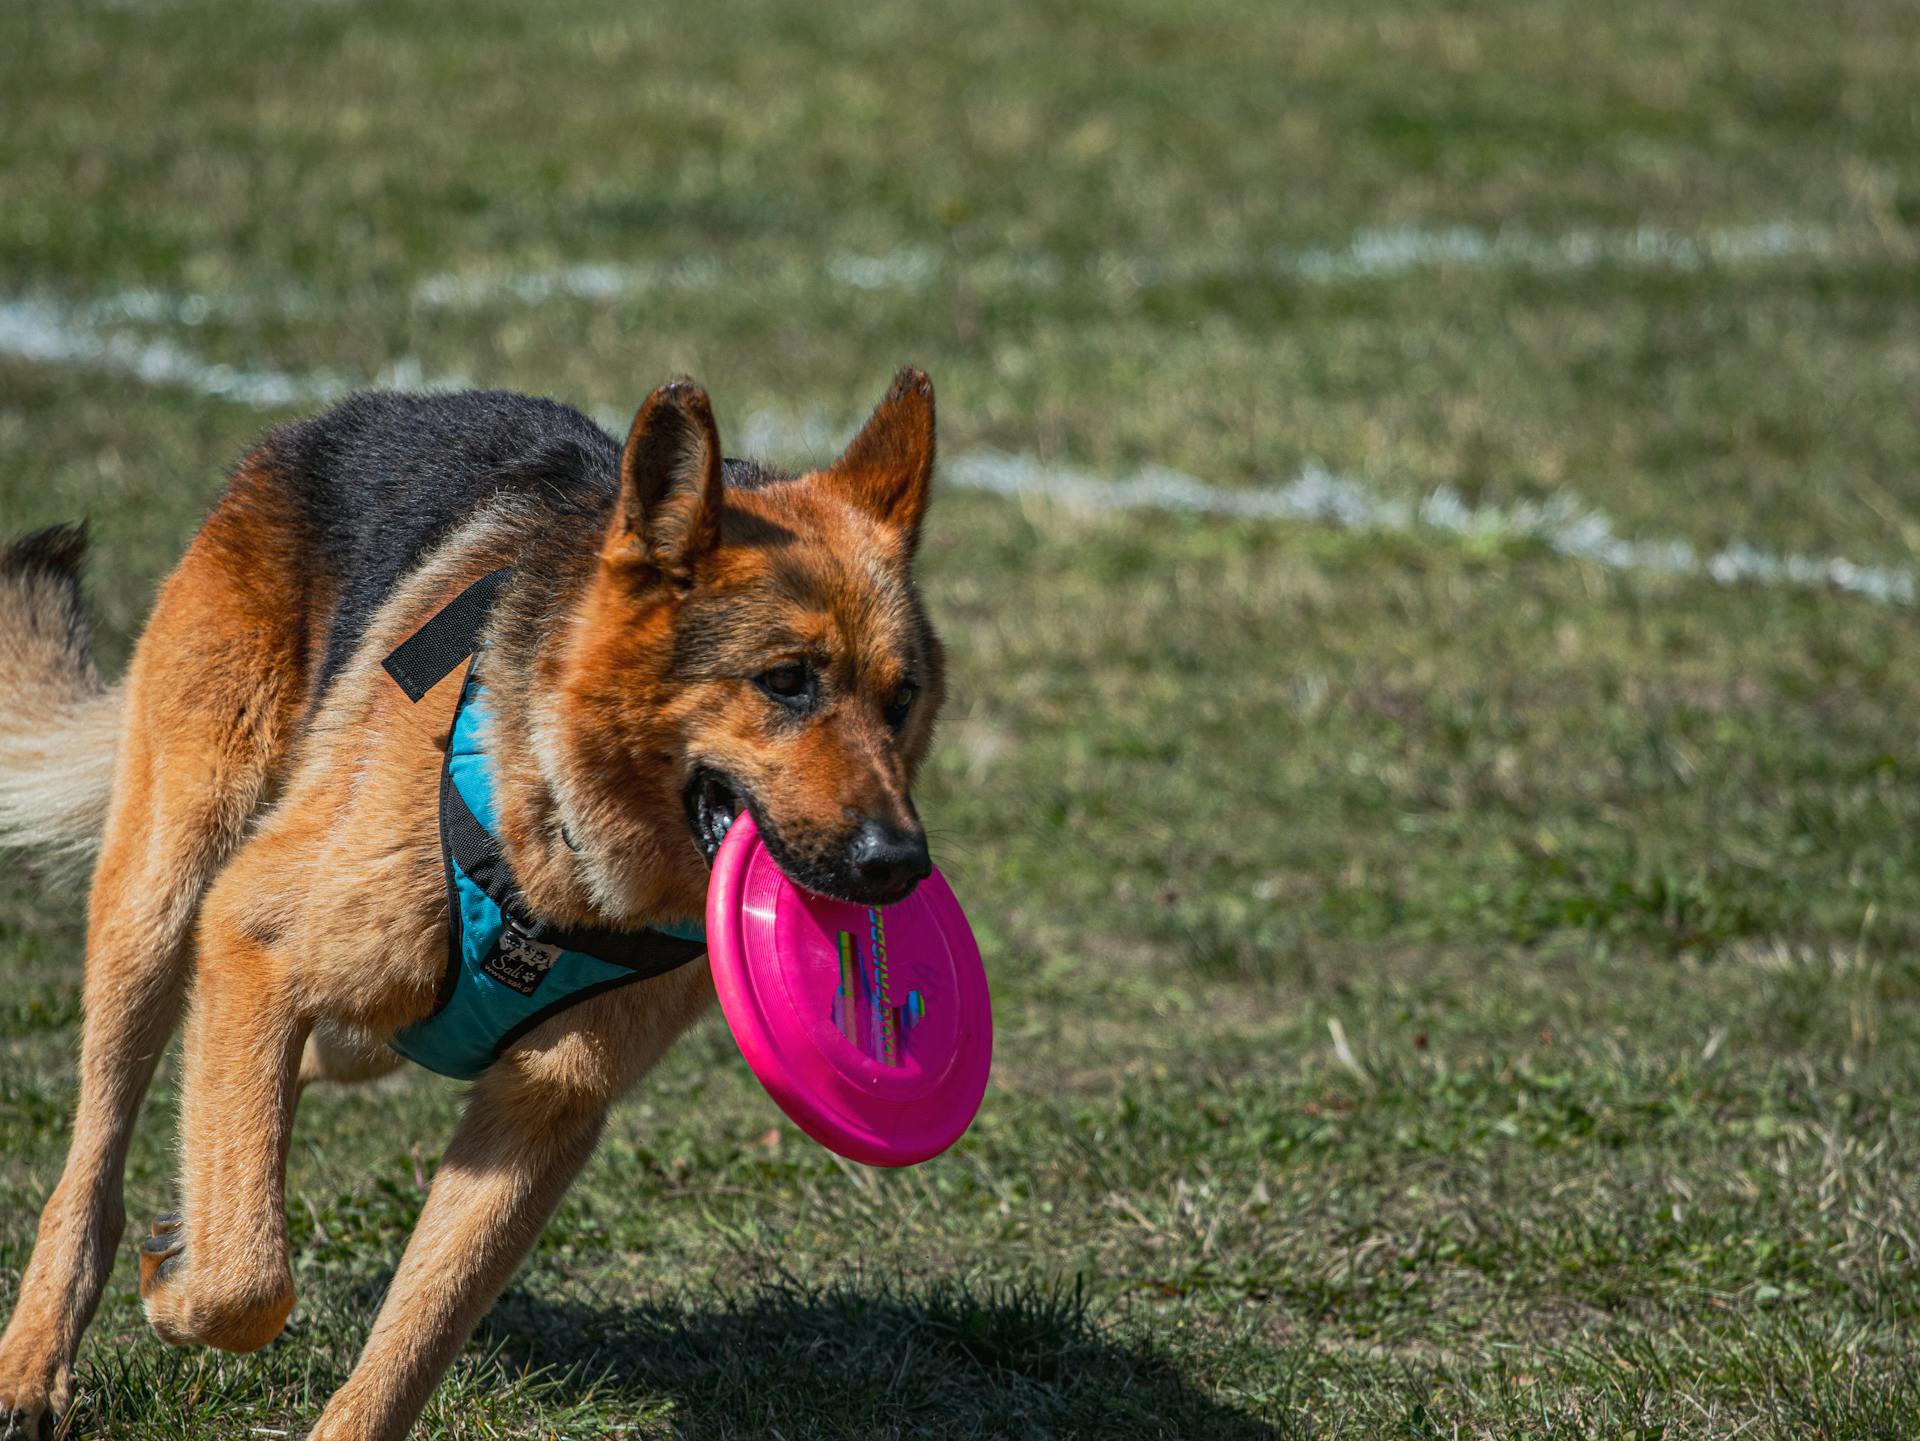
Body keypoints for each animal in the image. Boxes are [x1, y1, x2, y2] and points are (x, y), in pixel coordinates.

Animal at [0, 374, 944, 1441]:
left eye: (902, 699)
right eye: (785, 681)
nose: (900, 866)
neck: (560, 862)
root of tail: (330, 423)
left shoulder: (542, 1113)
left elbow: (416, 1336)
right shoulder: (252, 930)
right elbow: (246, 1282)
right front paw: (181, 1285)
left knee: (307, 1063)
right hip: (164, 896)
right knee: (94, 1158)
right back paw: (36, 1358)